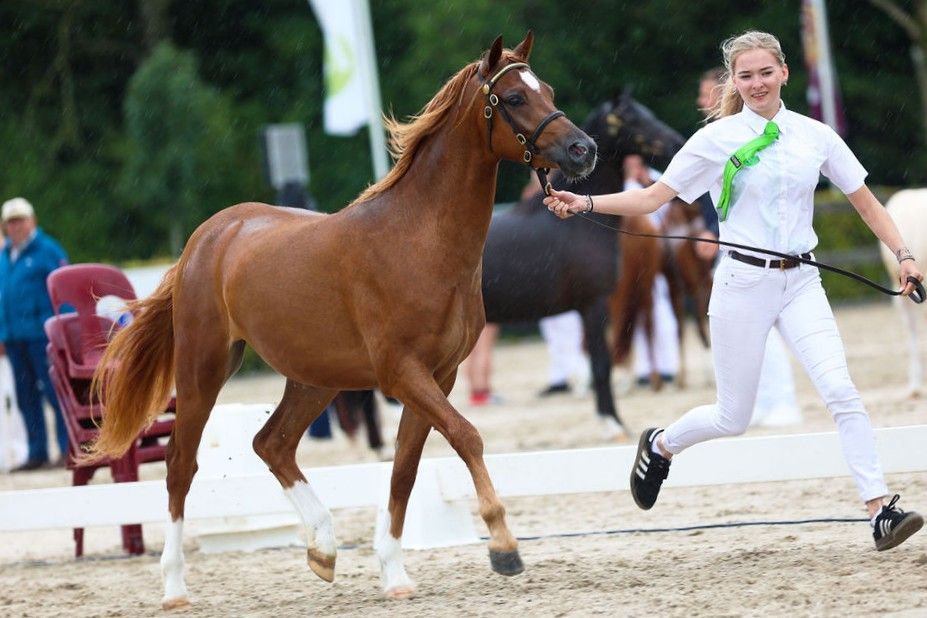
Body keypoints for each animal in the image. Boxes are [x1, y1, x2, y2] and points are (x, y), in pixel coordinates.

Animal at [86, 33, 597, 606]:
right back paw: (175, 585)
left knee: (272, 444)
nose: (584, 150)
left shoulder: (439, 376)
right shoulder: (403, 374)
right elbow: (467, 437)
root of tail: (207, 237)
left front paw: (394, 573)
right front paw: (504, 546)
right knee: (181, 464)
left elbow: (404, 468)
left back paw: (324, 550)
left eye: (547, 89)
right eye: (512, 97)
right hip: (203, 369)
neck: (420, 242)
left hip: (315, 378)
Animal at [480, 93, 685, 435]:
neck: (577, 224)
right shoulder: (594, 304)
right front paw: (613, 423)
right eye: (632, 119)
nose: (676, 143)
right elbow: (601, 364)